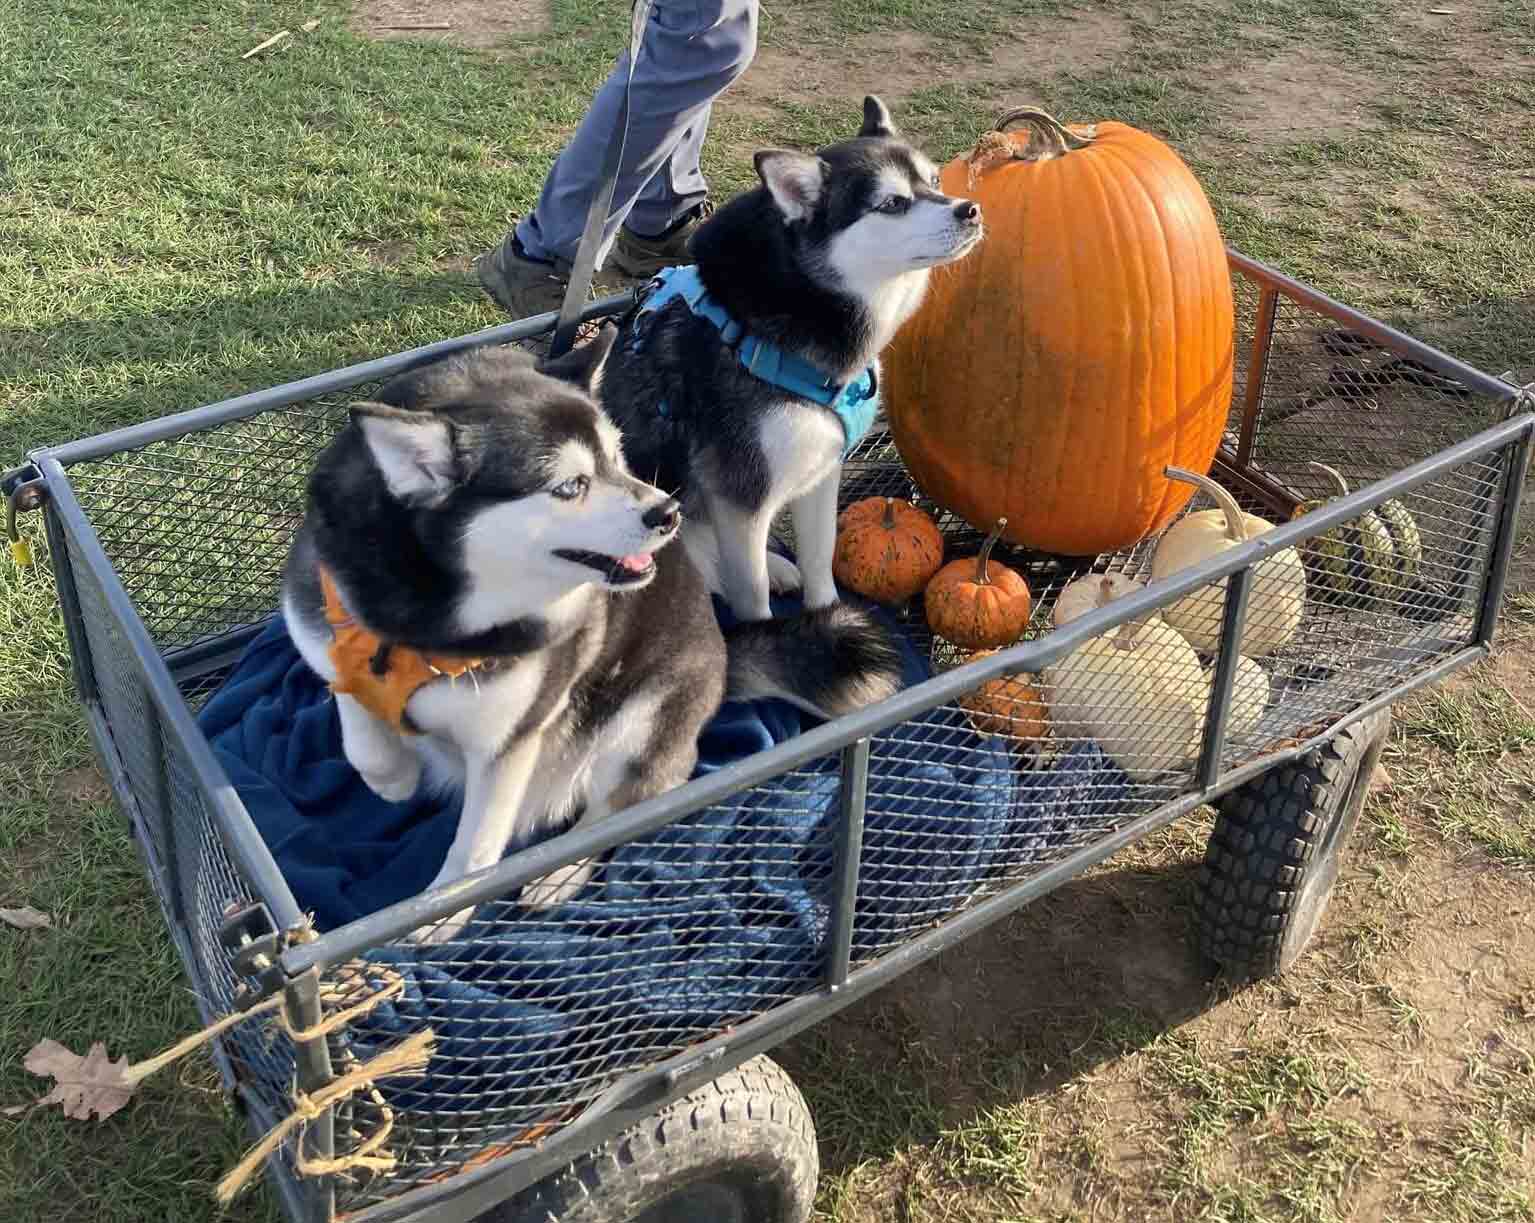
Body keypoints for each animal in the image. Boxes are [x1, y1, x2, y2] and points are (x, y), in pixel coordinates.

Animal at [282, 329, 902, 939]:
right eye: (570, 486)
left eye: (616, 455)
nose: (669, 513)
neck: (426, 616)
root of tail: (724, 654)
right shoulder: (322, 628)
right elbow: (355, 721)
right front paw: (394, 776)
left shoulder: (512, 737)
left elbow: (477, 848)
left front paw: (442, 910)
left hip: (642, 722)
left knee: (617, 810)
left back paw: (561, 872)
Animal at [598, 97, 982, 619]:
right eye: (893, 203)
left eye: (936, 180)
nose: (971, 209)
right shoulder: (739, 500)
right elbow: (752, 594)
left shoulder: (823, 470)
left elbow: (819, 558)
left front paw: (826, 624)